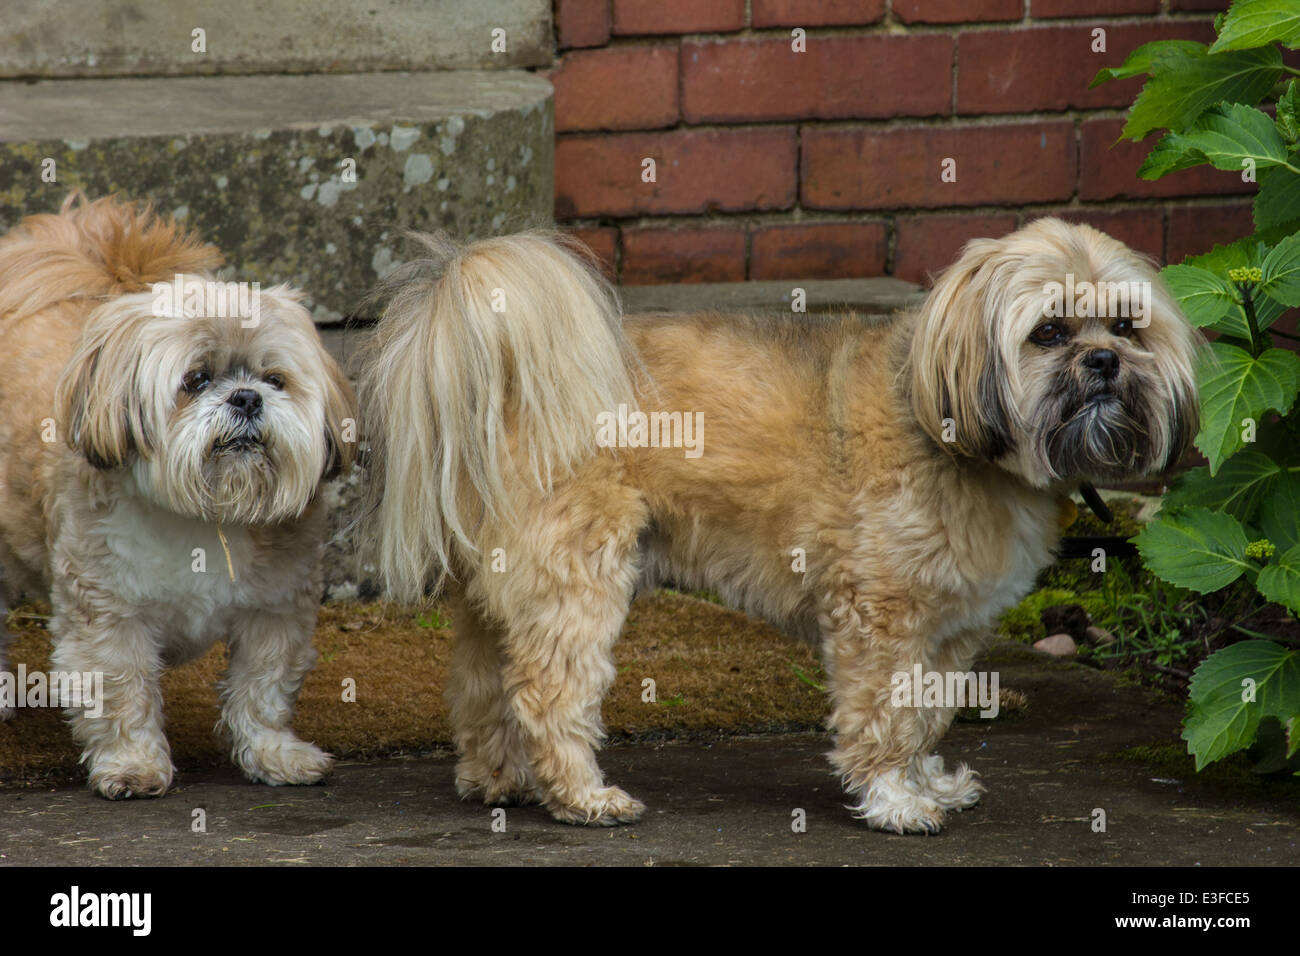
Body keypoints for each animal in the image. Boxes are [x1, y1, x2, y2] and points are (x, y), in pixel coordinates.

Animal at [0, 196, 358, 801]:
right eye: (196, 379)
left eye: (275, 379)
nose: (246, 397)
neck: (204, 512)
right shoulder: (109, 615)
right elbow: (122, 692)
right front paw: (133, 765)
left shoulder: (275, 611)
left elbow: (262, 688)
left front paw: (274, 754)